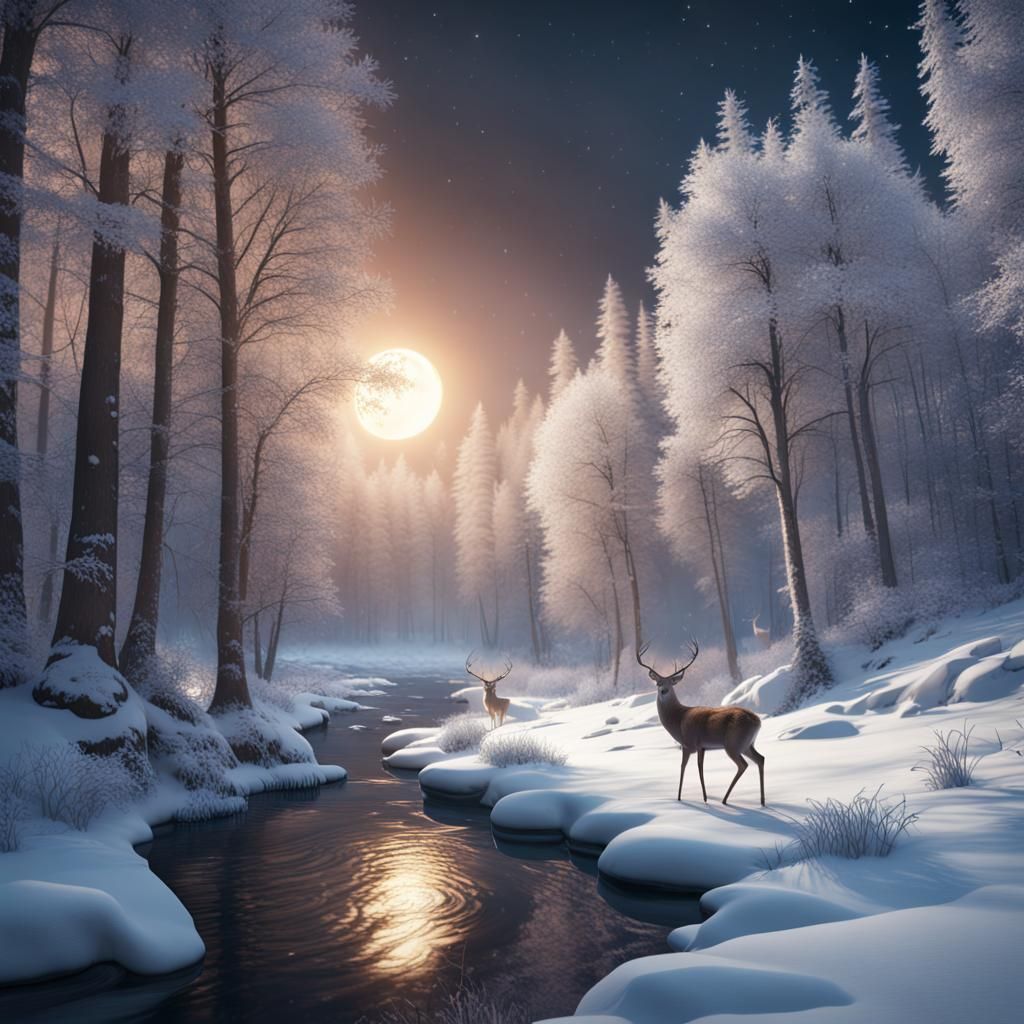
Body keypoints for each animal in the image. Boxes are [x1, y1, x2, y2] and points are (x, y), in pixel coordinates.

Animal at [637, 639, 766, 806]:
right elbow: (700, 768)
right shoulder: (702, 747)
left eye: (671, 683)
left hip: (733, 743)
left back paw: (725, 800)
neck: (677, 719)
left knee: (743, 765)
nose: (664, 691)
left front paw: (680, 798)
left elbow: (684, 768)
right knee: (761, 759)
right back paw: (762, 801)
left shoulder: (688, 743)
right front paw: (704, 798)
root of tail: (757, 720)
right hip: (748, 744)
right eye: (658, 683)